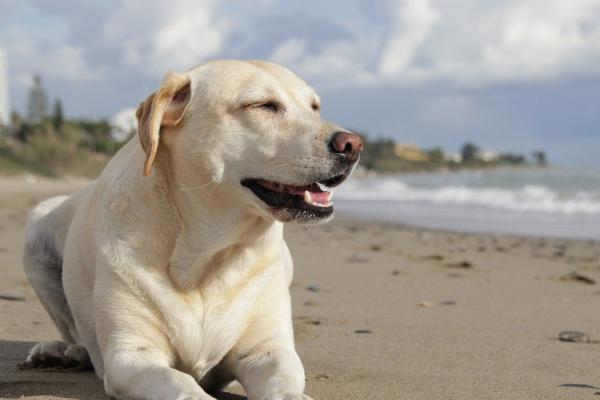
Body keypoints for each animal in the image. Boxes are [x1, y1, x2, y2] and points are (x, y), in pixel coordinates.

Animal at [21, 60, 364, 400]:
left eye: (315, 107)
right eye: (263, 105)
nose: (353, 145)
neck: (207, 257)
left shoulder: (268, 350)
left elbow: (283, 382)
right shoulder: (130, 355)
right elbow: (181, 383)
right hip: (36, 227)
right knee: (76, 334)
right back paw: (62, 352)